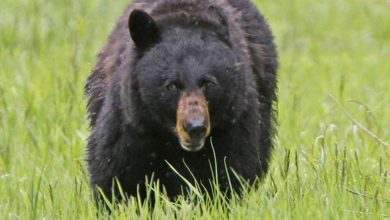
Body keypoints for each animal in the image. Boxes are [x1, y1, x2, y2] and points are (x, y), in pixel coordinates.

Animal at [86, 0, 278, 202]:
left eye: (208, 83)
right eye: (171, 86)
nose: (195, 127)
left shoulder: (233, 121)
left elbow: (230, 171)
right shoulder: (132, 121)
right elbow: (115, 171)